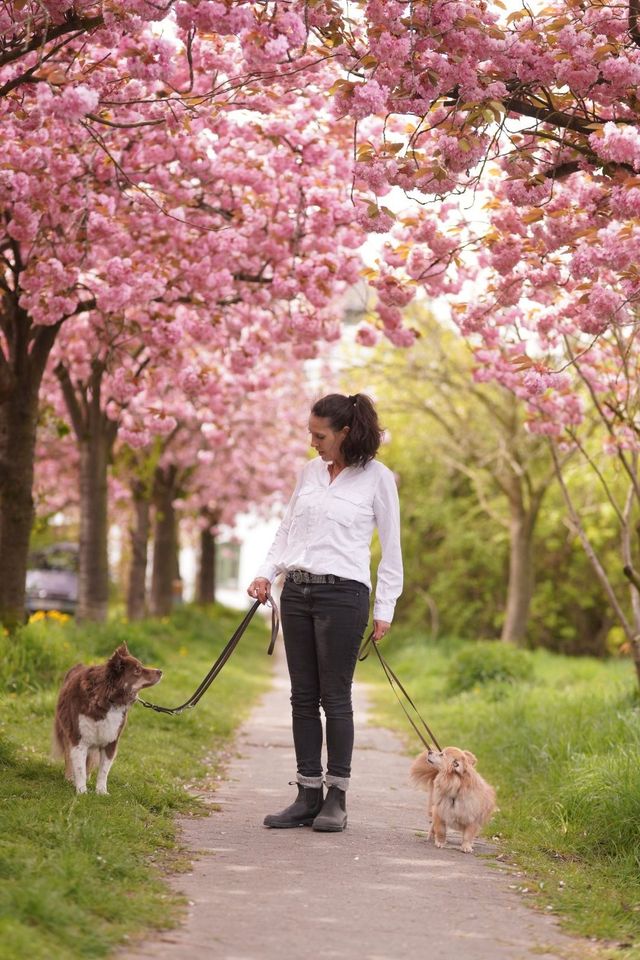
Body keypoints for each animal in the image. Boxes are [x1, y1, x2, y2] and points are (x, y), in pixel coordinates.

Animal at [53, 644, 162, 796]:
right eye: (137, 670)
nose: (160, 671)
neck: (108, 699)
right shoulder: (79, 738)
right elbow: (79, 767)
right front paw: (81, 791)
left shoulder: (111, 740)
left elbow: (103, 771)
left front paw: (101, 792)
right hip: (65, 731)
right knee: (69, 757)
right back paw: (69, 777)